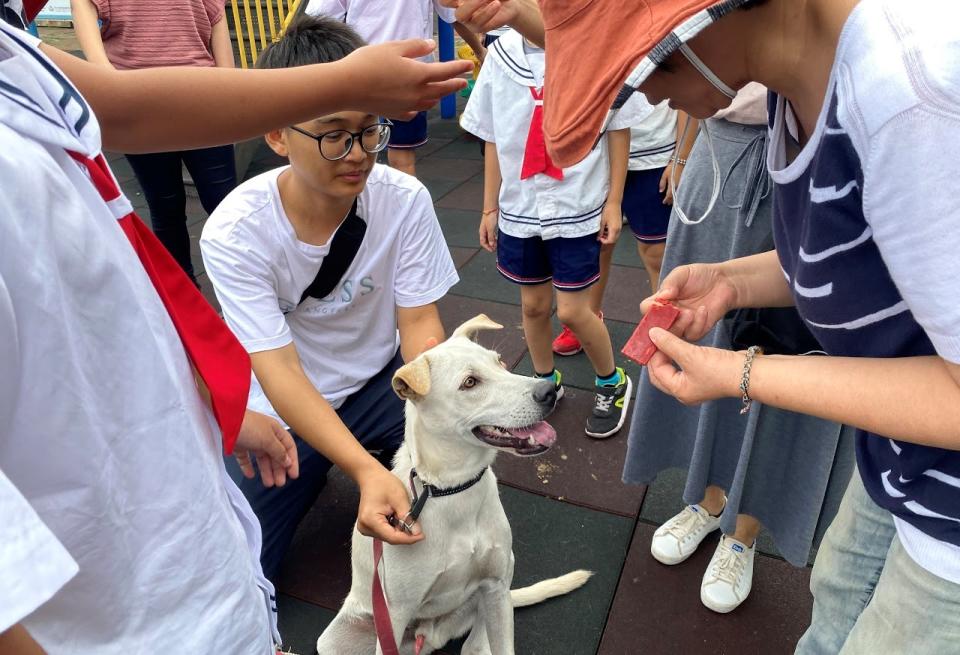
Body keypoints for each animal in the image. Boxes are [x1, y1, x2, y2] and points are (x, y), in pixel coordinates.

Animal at [316, 316, 588, 652]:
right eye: (469, 383)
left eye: (500, 362)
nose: (549, 391)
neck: (454, 488)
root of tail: (430, 635)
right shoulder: (393, 616)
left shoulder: (496, 585)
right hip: (336, 639)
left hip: (496, 593)